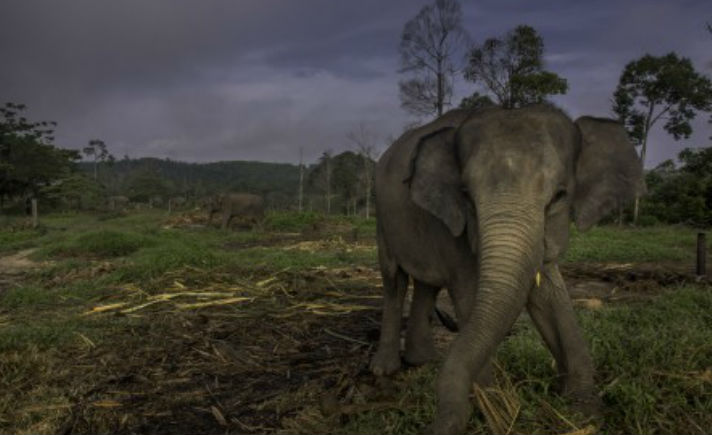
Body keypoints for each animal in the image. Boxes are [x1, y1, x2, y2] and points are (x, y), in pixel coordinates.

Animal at [372, 104, 644, 434]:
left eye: (559, 196)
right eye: (466, 194)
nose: (434, 425)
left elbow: (550, 295)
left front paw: (584, 410)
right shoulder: (455, 230)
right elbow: (468, 294)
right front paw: (493, 404)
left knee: (427, 285)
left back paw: (422, 361)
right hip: (381, 217)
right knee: (394, 280)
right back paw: (385, 370)